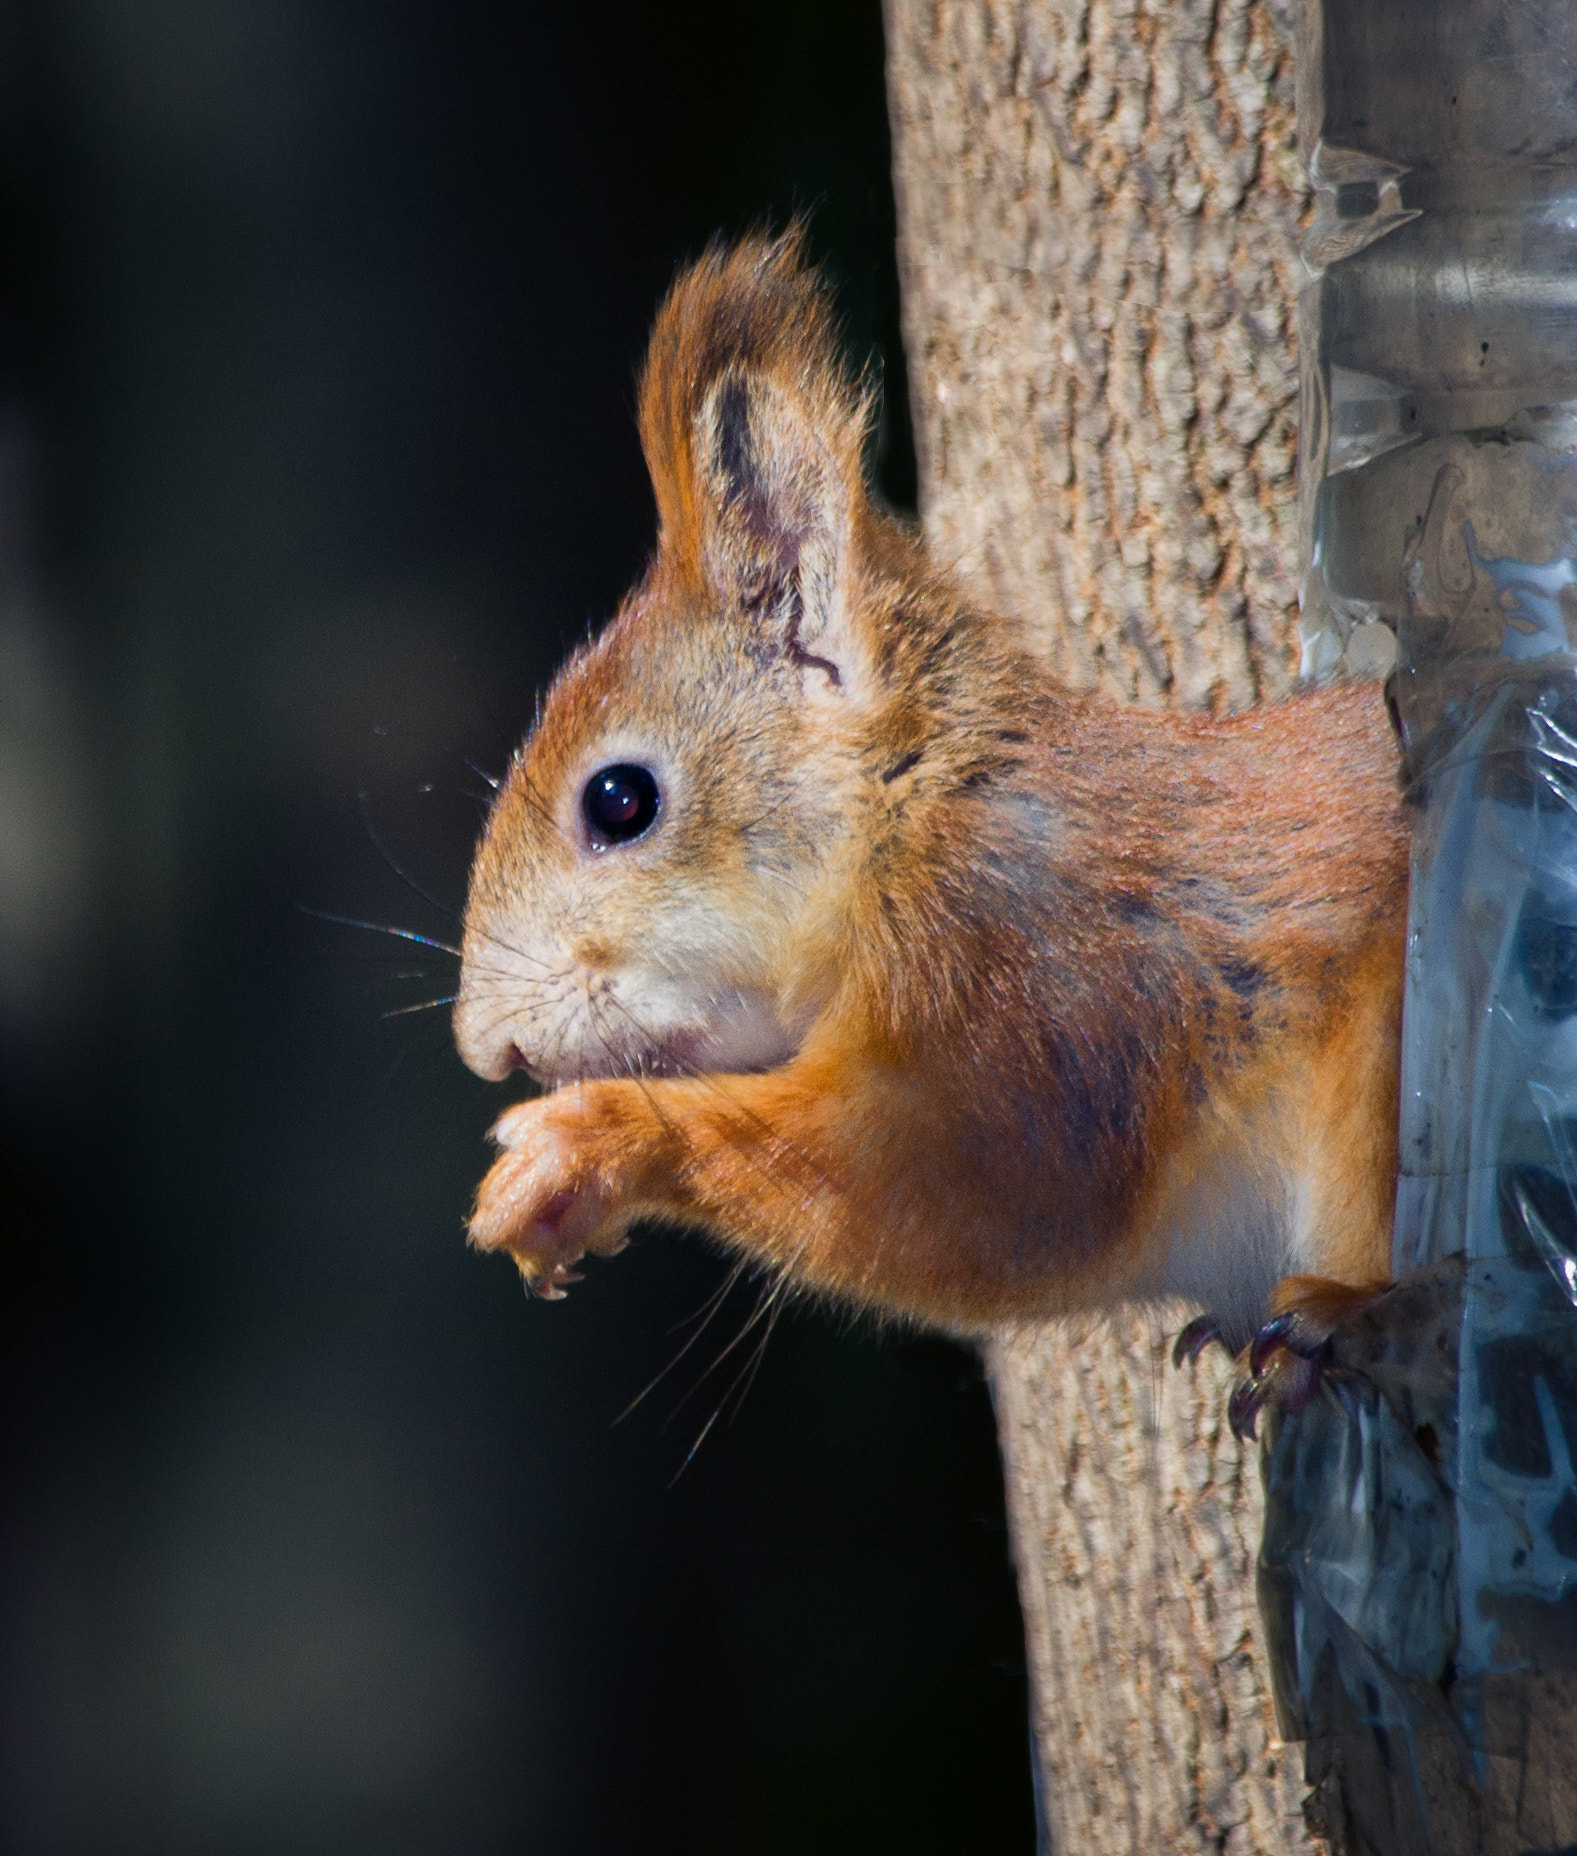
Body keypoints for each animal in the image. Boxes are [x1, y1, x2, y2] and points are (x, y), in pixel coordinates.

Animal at [450, 228, 1402, 1403]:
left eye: (619, 800)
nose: (484, 1046)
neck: (913, 825)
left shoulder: (1034, 989)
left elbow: (971, 1196)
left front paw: (584, 1147)